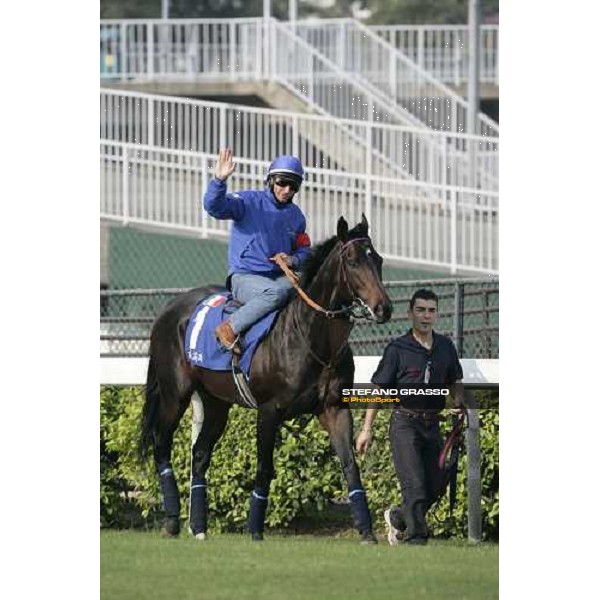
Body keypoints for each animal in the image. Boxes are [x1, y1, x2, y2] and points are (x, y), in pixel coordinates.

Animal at [141, 216, 394, 544]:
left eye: (378, 259)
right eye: (352, 261)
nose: (383, 308)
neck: (309, 336)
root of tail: (170, 308)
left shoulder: (334, 408)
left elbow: (350, 465)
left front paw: (366, 532)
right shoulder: (269, 411)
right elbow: (264, 468)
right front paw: (255, 530)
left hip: (216, 402)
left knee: (199, 454)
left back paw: (198, 526)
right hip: (176, 394)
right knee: (161, 442)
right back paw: (172, 520)